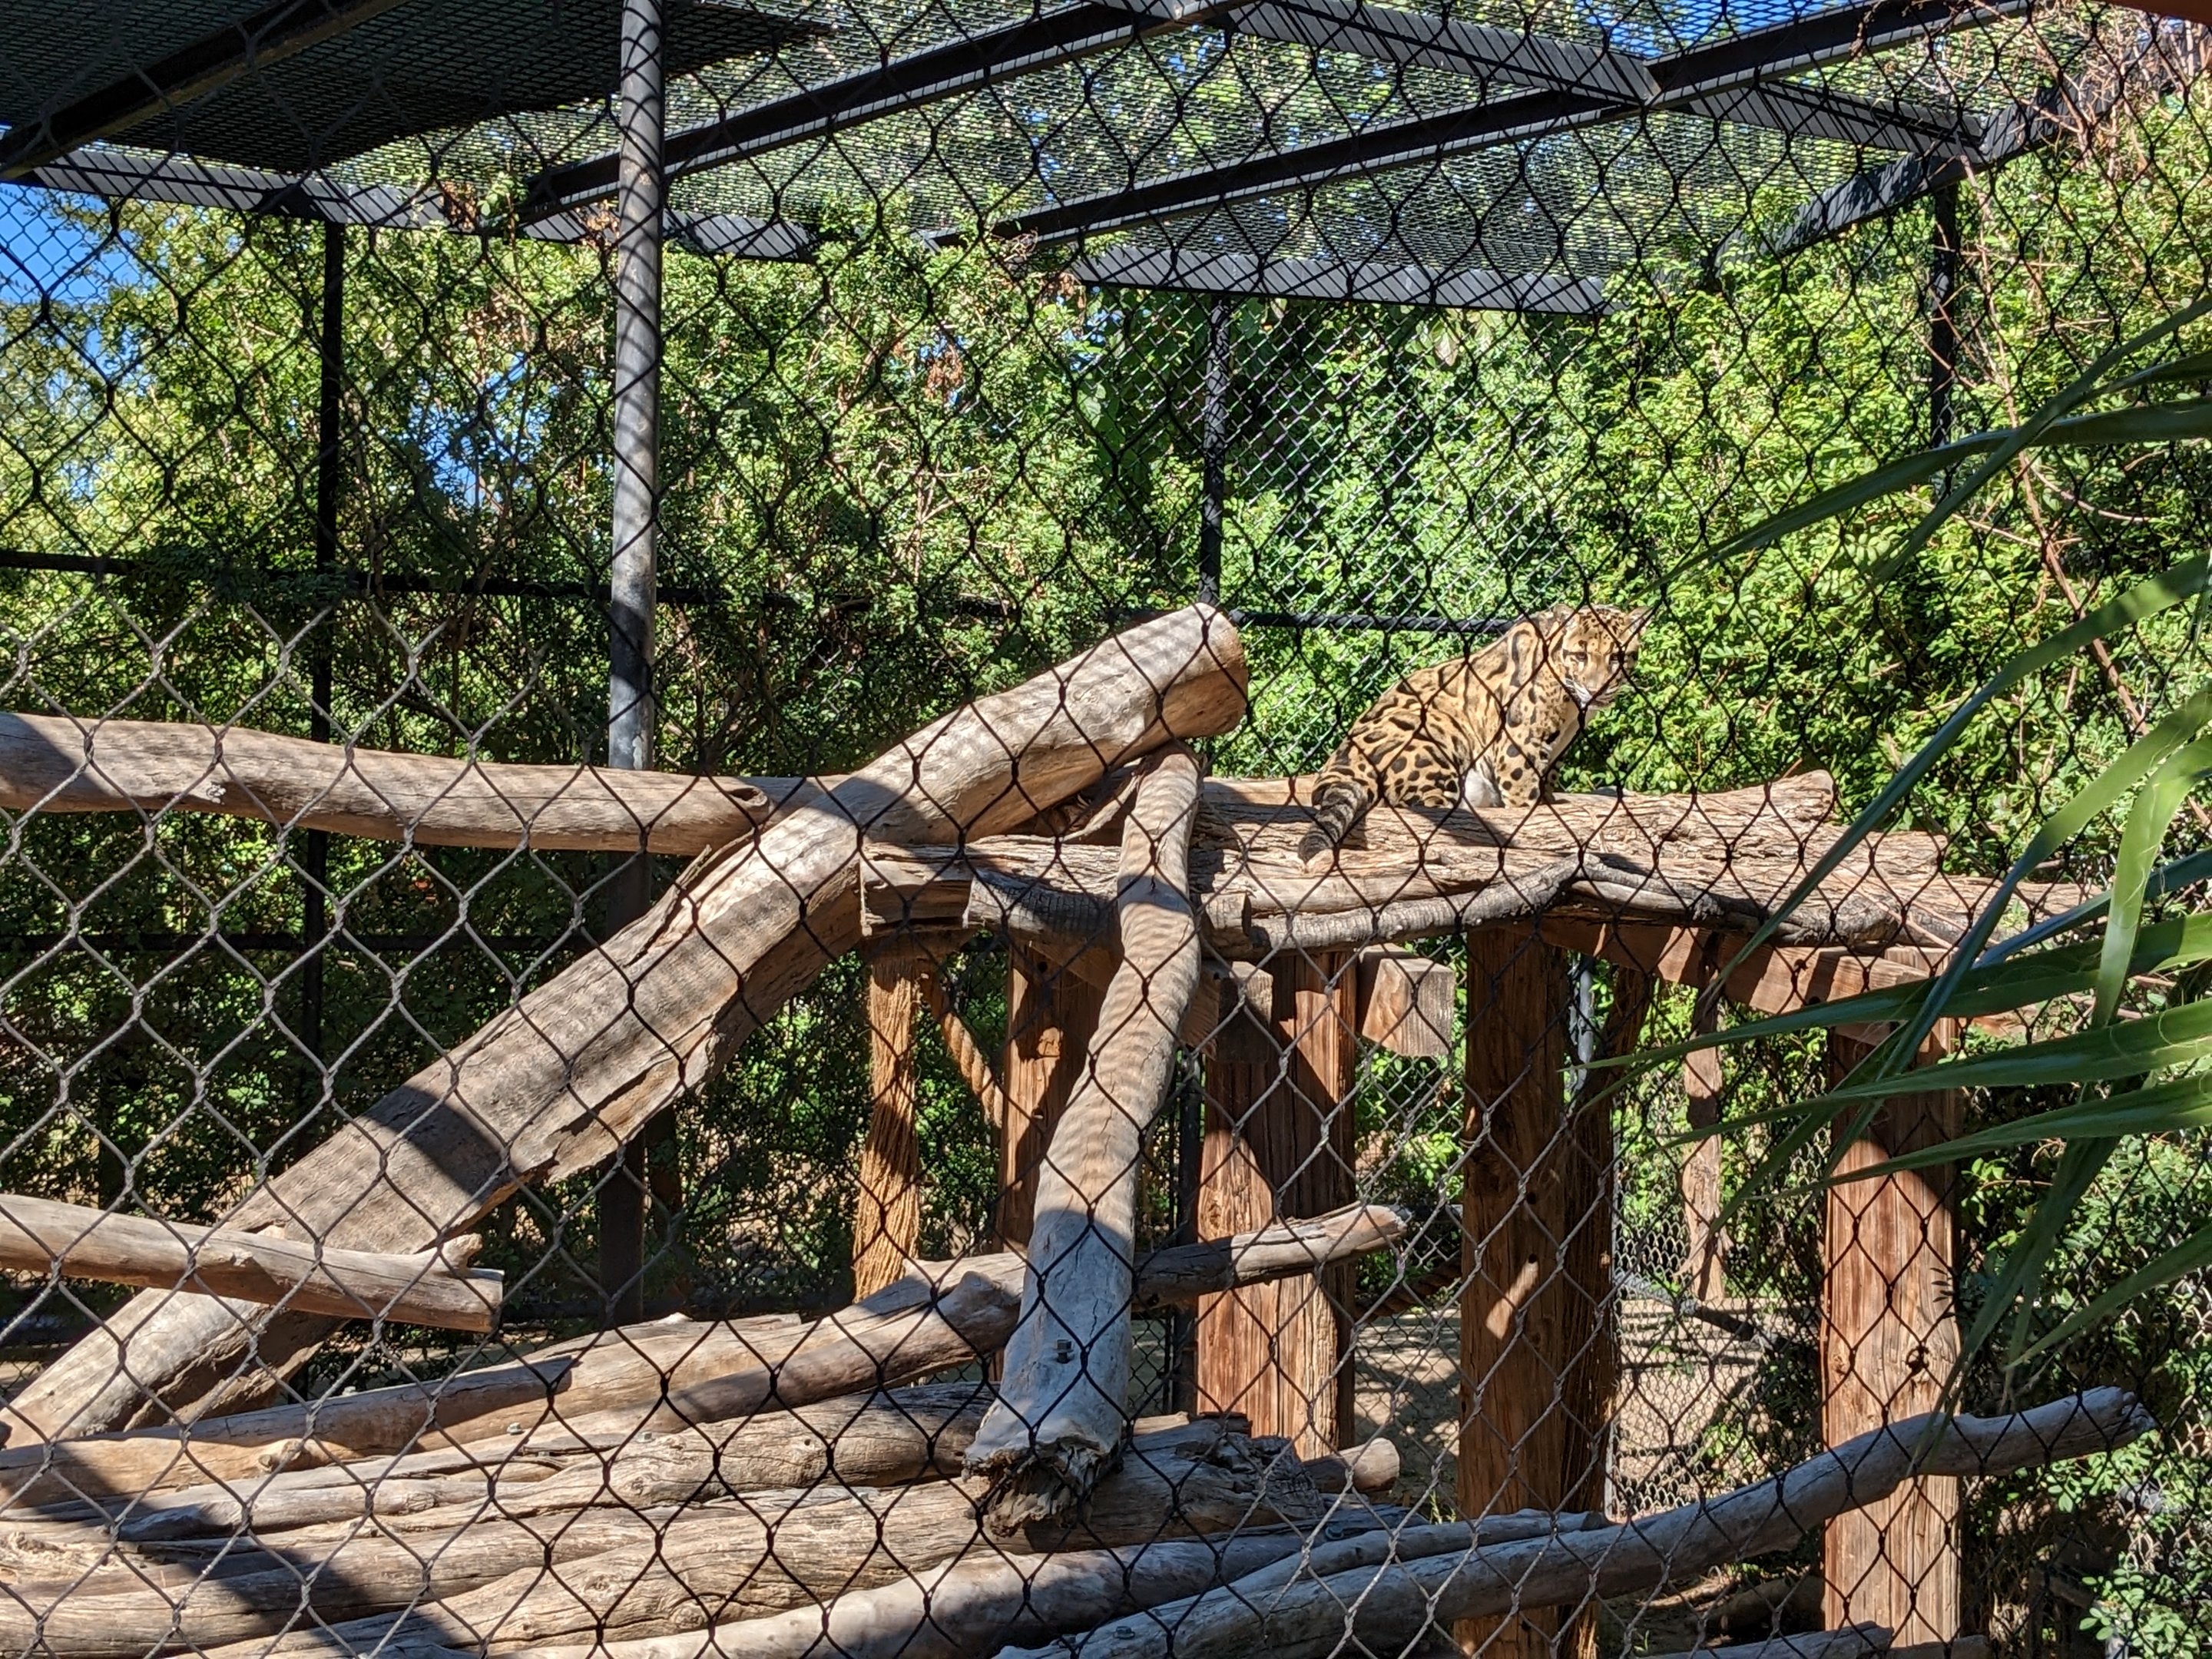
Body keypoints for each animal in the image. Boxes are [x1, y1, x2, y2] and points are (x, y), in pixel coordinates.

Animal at [1299, 604, 1647, 863]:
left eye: (1617, 657)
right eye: (1581, 655)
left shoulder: (1560, 745)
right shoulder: (1520, 741)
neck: (1574, 705)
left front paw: (1552, 801)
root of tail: (1336, 769)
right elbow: (1524, 790)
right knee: (1427, 804)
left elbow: (1548, 778)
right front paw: (1534, 808)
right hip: (1437, 730)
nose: (1597, 689)